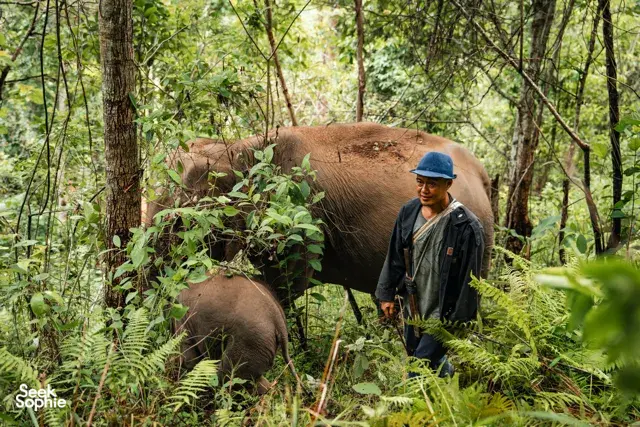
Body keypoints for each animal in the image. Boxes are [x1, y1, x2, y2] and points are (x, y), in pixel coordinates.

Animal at [147, 122, 494, 304]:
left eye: (180, 219)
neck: (240, 146)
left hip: (477, 241)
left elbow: (288, 281)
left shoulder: (301, 213)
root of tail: (482, 171)